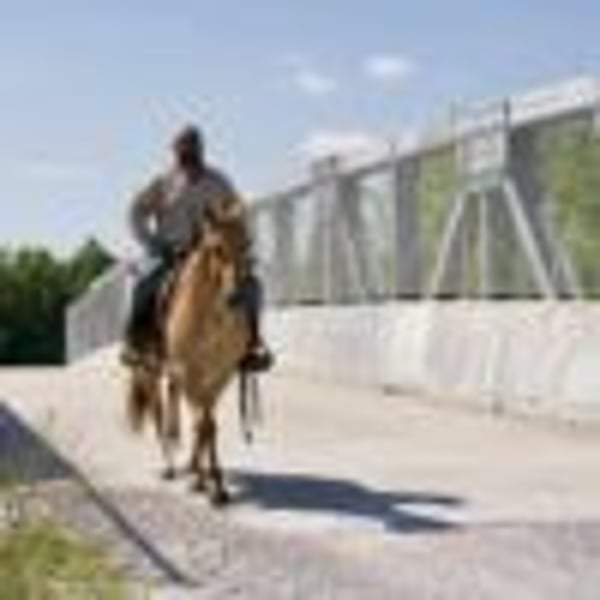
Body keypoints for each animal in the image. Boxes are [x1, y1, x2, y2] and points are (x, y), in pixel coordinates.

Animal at [125, 207, 252, 505]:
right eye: (216, 248)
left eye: (248, 244)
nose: (236, 297)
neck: (212, 317)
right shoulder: (190, 371)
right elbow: (202, 423)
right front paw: (207, 484)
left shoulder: (219, 375)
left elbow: (207, 425)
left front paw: (212, 482)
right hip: (149, 369)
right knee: (159, 412)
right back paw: (169, 466)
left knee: (176, 410)